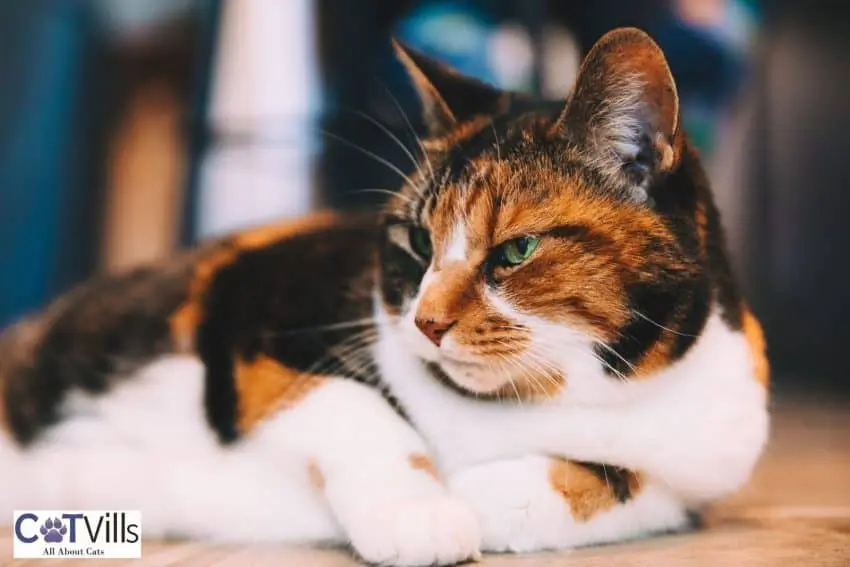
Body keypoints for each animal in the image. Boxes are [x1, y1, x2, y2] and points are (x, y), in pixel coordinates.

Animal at [1, 28, 768, 564]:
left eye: (515, 251)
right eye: (418, 241)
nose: (425, 323)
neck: (552, 397)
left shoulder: (710, 454)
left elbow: (638, 484)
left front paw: (488, 496)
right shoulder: (254, 310)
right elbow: (352, 403)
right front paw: (425, 512)